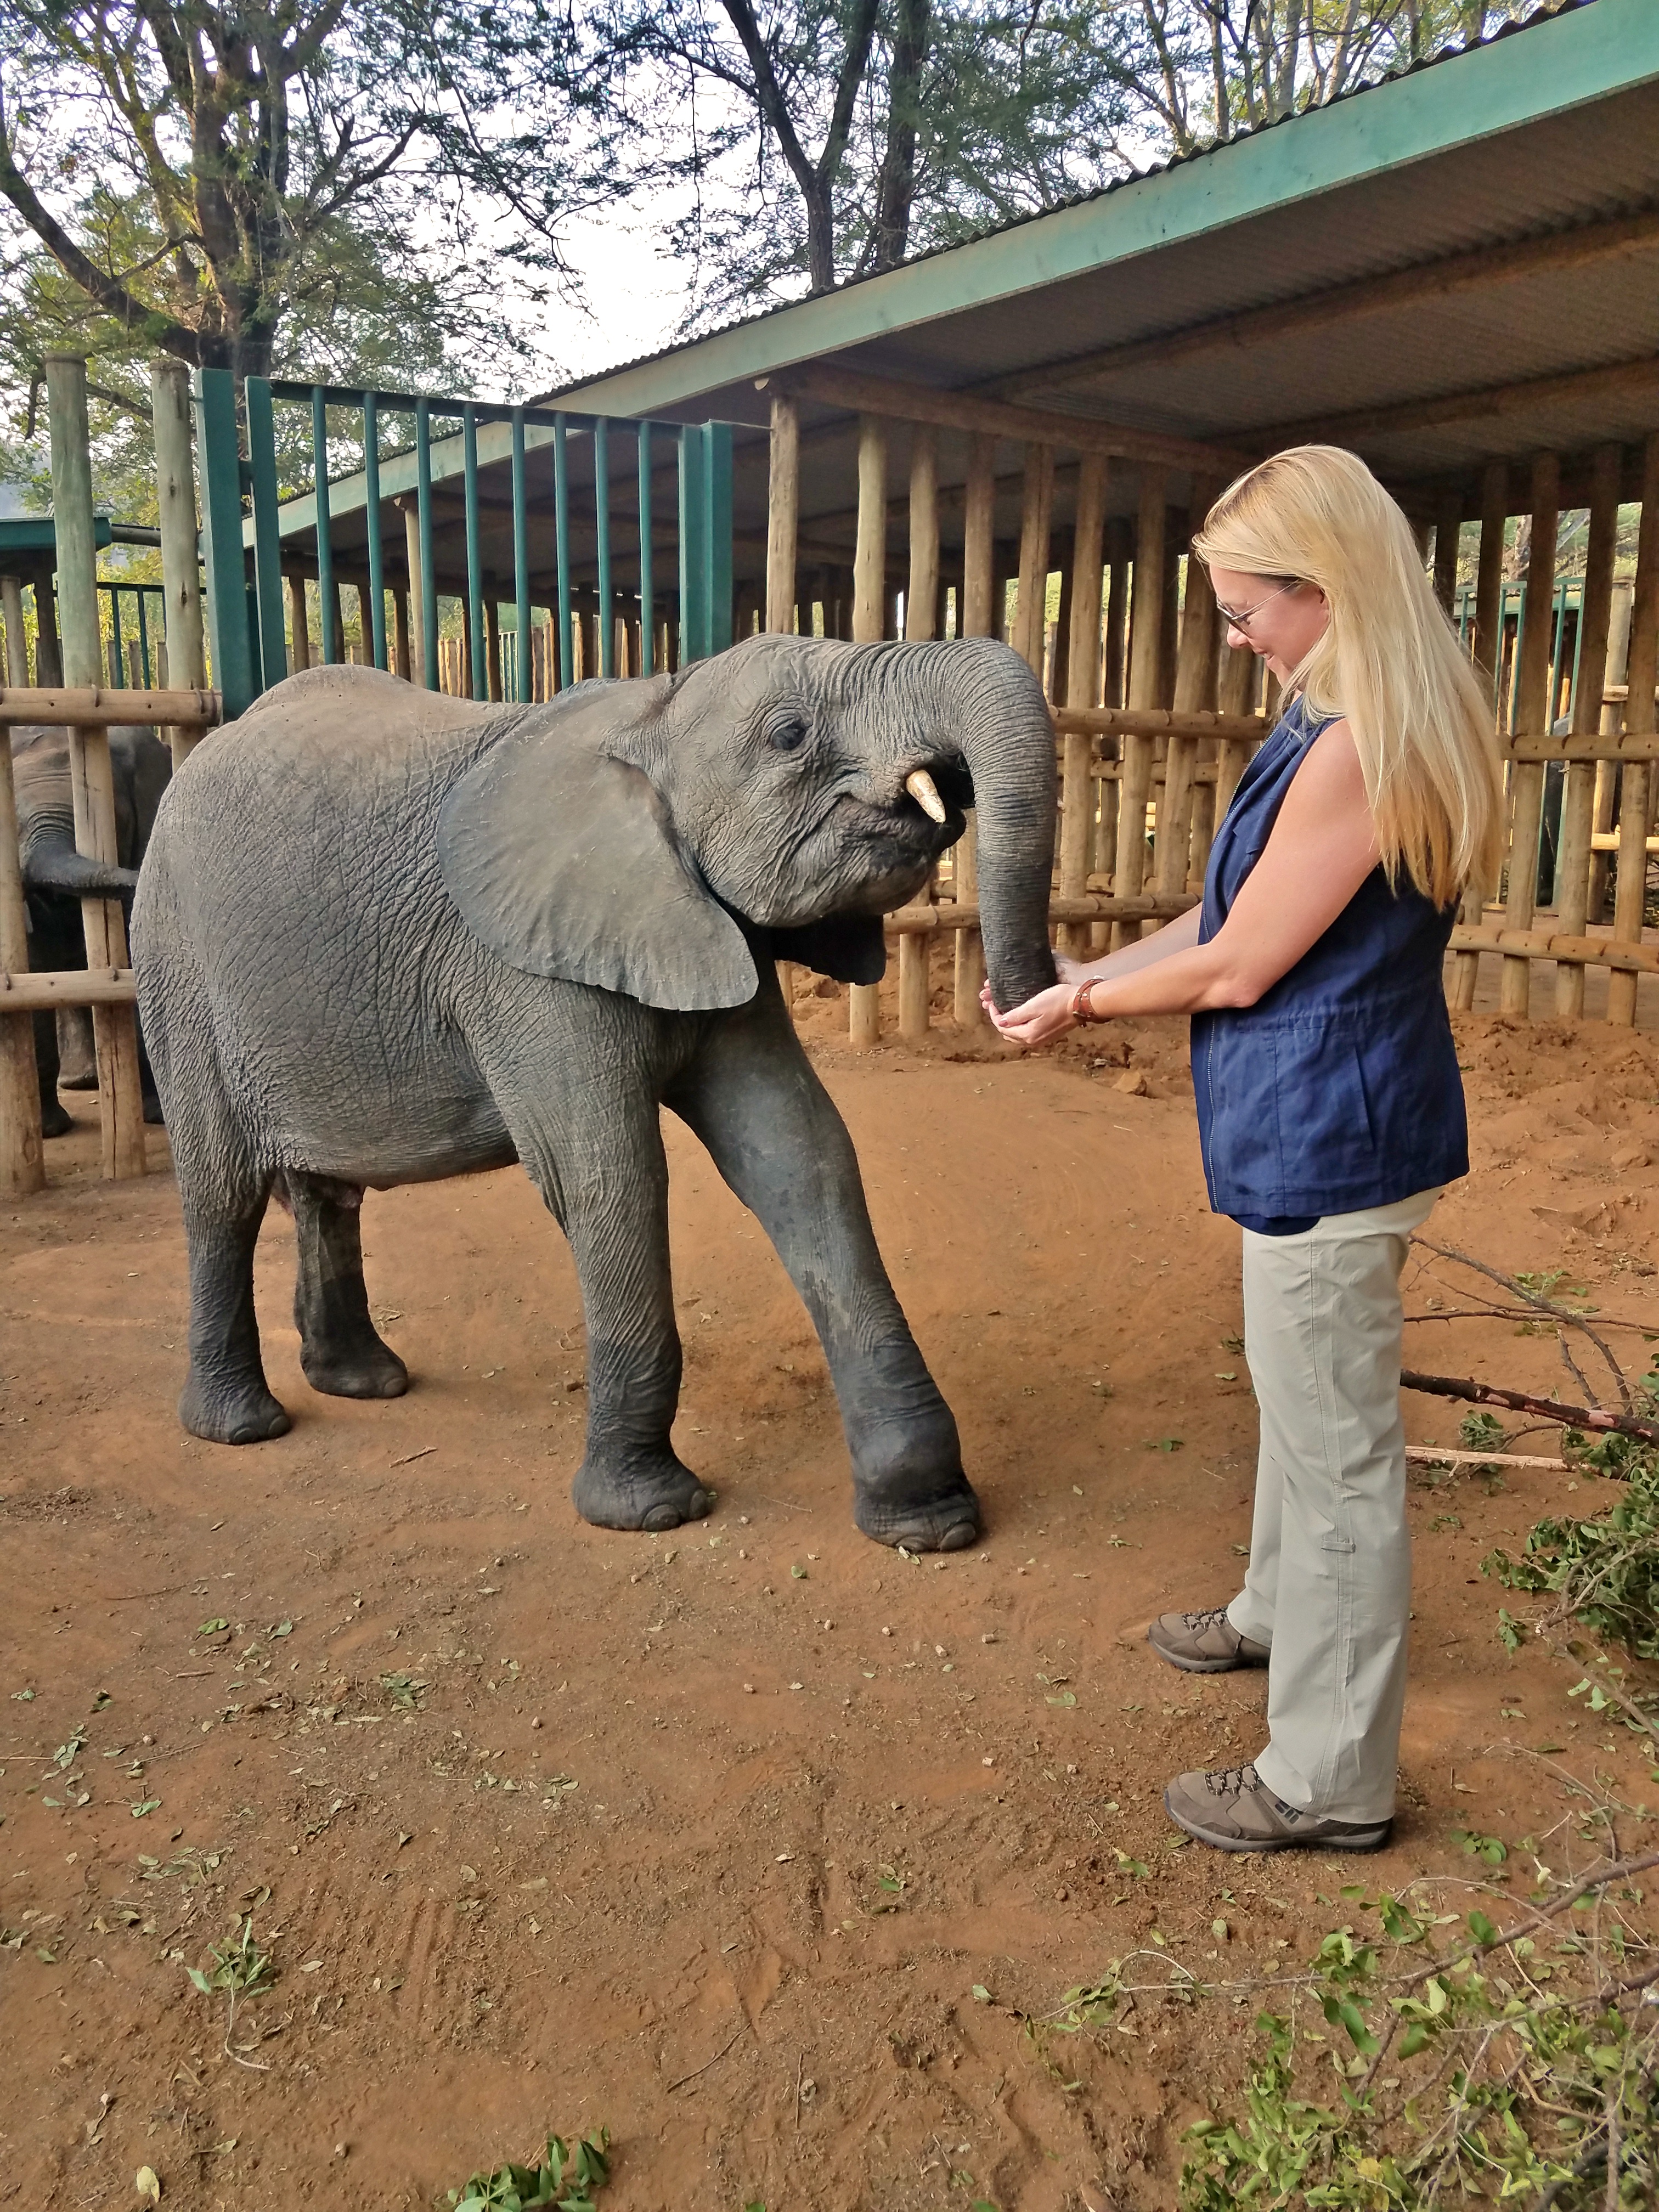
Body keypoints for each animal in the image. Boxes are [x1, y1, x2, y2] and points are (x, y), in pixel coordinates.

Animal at [132, 639, 1058, 1547]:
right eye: (789, 735)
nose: (1010, 1008)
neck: (652, 716)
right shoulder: (527, 969)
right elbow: (611, 1179)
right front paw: (650, 1512)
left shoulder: (708, 925)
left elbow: (800, 1154)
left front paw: (929, 1522)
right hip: (176, 964)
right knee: (222, 1192)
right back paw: (242, 1427)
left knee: (327, 1194)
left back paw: (365, 1382)